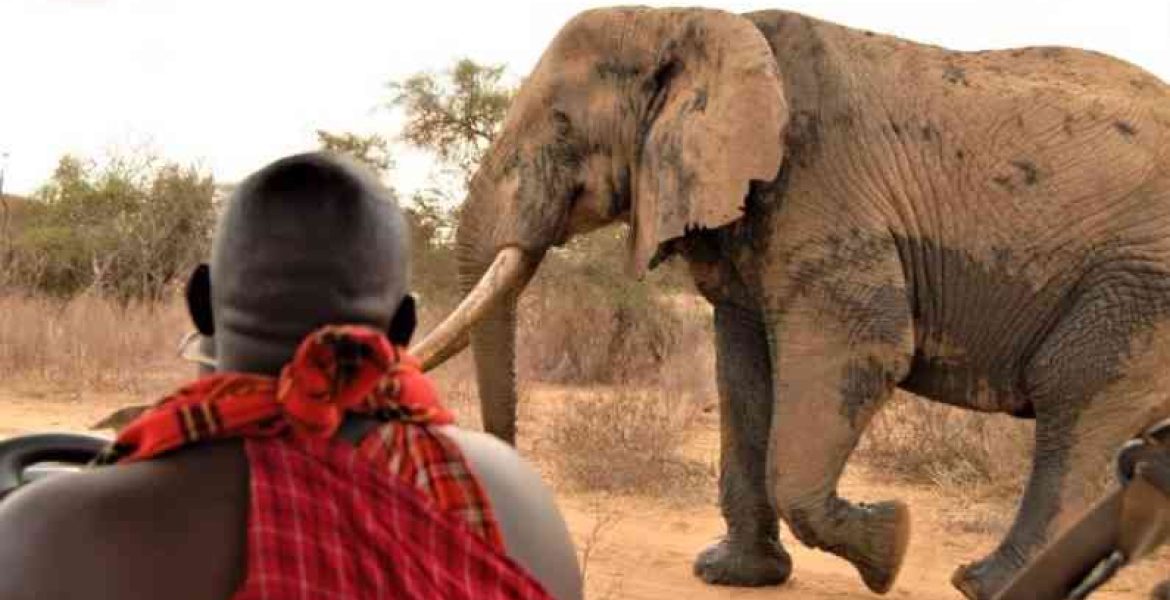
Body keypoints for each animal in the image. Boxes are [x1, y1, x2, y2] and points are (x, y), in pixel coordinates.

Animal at [411, 7, 1170, 600]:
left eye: (564, 125)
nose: (509, 515)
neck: (696, 25)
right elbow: (745, 372)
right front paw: (734, 574)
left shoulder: (822, 185)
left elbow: (865, 346)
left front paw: (890, 548)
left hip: (1135, 288)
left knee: (1075, 399)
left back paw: (989, 585)